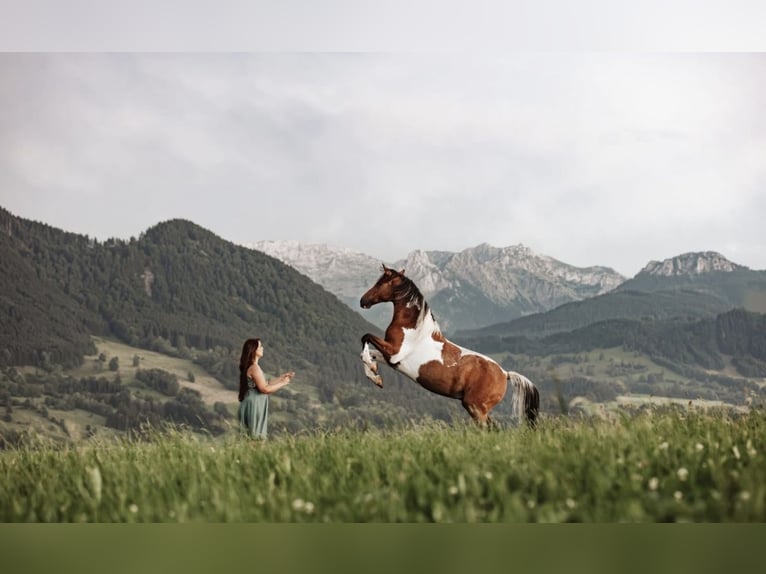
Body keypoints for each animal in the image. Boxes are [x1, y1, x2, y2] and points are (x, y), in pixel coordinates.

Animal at [359, 265, 539, 427]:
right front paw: (376, 377)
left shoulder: (394, 352)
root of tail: (505, 374)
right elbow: (367, 354)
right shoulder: (391, 358)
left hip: (475, 407)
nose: (363, 301)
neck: (413, 329)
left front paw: (374, 372)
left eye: (379, 283)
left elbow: (366, 337)